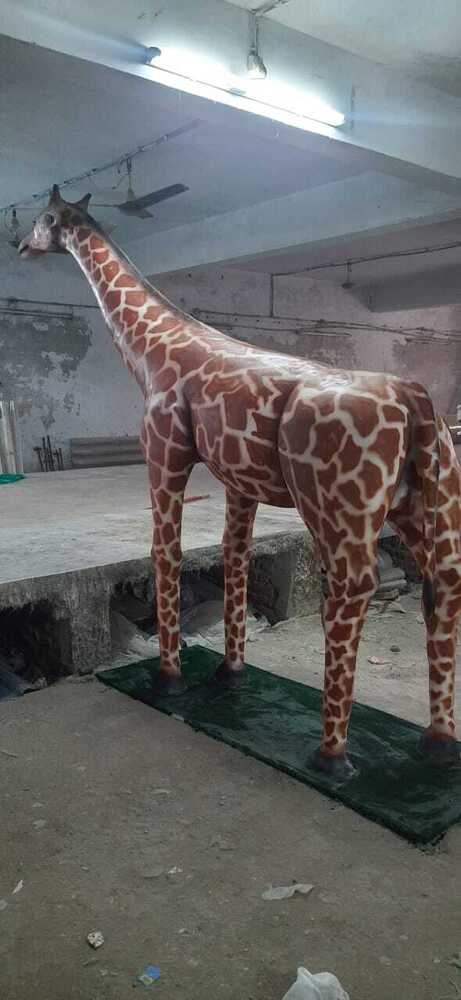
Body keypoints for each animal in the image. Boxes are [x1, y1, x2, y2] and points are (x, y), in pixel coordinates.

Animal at [19, 186, 461, 778]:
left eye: (45, 218)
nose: (20, 245)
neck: (150, 352)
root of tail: (416, 401)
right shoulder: (238, 481)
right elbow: (234, 556)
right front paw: (230, 671)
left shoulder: (164, 455)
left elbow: (167, 552)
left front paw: (170, 676)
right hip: (425, 501)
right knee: (444, 582)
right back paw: (438, 742)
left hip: (338, 507)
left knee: (351, 588)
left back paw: (331, 754)